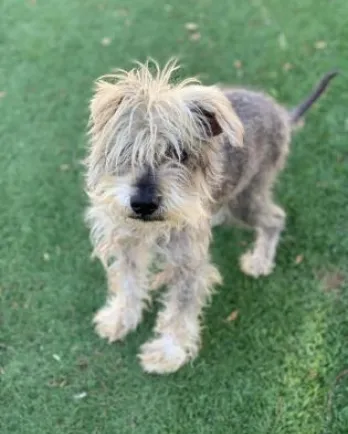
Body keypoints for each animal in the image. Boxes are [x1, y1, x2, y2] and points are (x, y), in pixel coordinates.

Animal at [84, 59, 338, 374]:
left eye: (179, 153)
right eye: (126, 148)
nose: (143, 203)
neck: (152, 228)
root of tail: (280, 112)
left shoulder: (189, 263)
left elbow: (180, 310)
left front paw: (168, 352)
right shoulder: (127, 244)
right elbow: (129, 284)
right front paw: (121, 319)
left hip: (247, 198)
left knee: (275, 219)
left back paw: (259, 260)